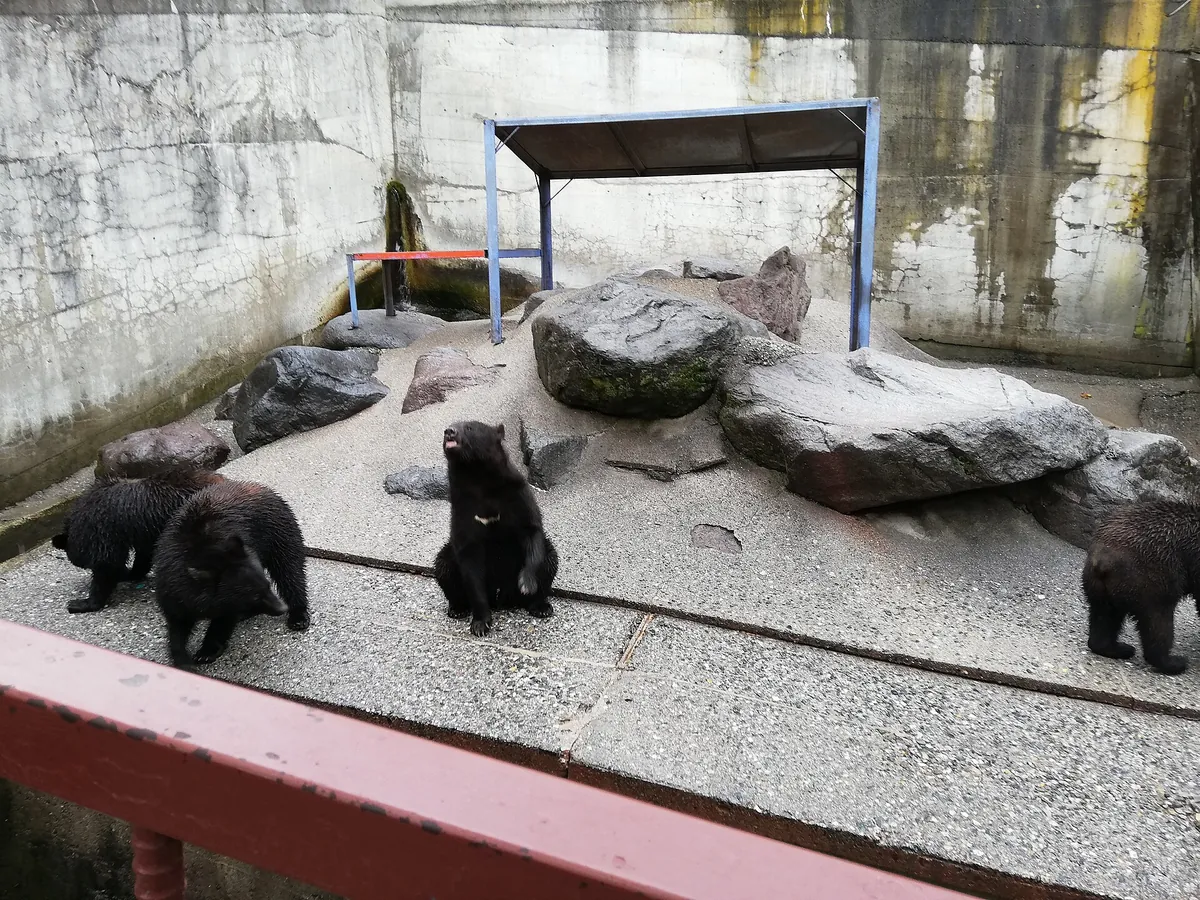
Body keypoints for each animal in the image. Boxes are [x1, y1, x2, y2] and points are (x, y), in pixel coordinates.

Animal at [51, 469, 226, 613]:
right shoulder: (144, 531)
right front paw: (129, 572)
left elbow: (107, 564)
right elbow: (143, 556)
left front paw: (84, 603)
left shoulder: (105, 529)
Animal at [153, 478, 310, 667]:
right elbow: (177, 622)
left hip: (279, 533)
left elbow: (223, 621)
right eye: (255, 595)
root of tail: (265, 489)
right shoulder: (171, 586)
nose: (281, 607)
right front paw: (182, 659)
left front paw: (206, 651)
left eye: (266, 586)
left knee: (290, 571)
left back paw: (298, 616)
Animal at [434, 420, 559, 637]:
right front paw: (480, 624)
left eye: (469, 427)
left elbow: (531, 529)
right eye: (451, 426)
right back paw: (458, 608)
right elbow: (469, 559)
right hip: (448, 558)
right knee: (444, 567)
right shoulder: (463, 507)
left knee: (550, 560)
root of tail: (503, 597)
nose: (449, 431)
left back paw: (540, 606)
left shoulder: (517, 494)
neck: (479, 478)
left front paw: (526, 583)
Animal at [1082, 499, 1200, 675]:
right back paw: (1173, 662)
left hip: (1099, 586)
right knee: (1158, 621)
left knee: (1104, 616)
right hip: (1153, 579)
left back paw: (1115, 648)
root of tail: (1103, 559)